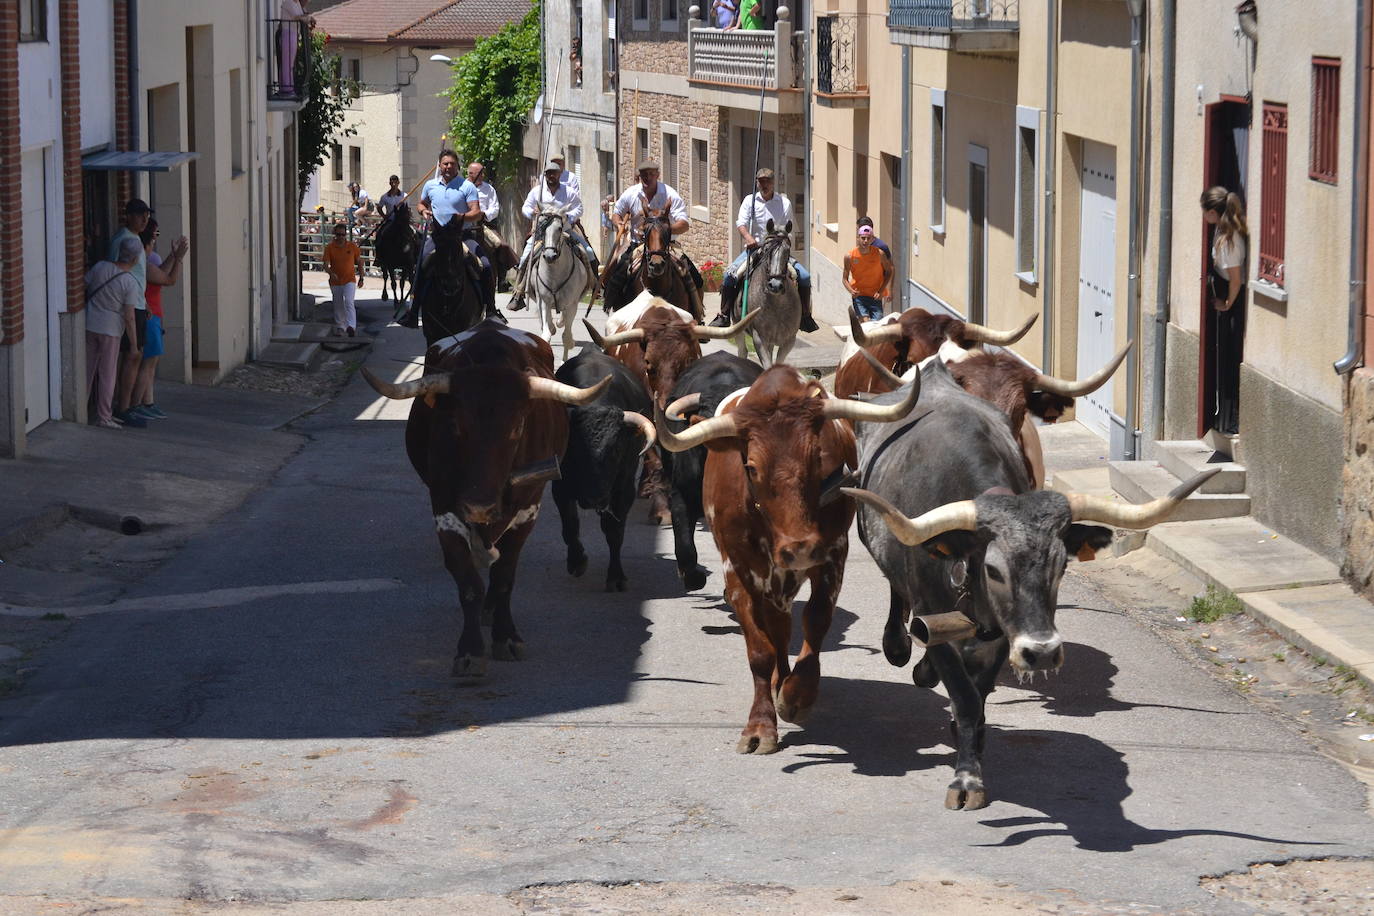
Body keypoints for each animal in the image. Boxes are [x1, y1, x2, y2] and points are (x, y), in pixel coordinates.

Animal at [365, 318, 607, 678]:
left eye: (518, 427)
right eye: (455, 424)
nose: (479, 506)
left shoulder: (528, 510)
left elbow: (505, 576)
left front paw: (506, 637)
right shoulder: (444, 506)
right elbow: (468, 581)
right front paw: (470, 650)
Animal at [524, 205, 596, 359]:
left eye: (559, 228)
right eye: (541, 227)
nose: (550, 256)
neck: (554, 275)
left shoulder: (572, 305)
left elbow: (566, 337)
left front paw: (564, 361)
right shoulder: (543, 301)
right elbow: (546, 335)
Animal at [656, 368, 917, 758]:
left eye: (817, 459)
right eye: (750, 467)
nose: (800, 548)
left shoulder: (833, 557)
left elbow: (816, 622)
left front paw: (797, 696)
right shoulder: (738, 572)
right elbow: (760, 650)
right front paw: (760, 726)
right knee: (777, 631)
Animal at [840, 362, 1220, 813]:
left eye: (1060, 566)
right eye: (993, 570)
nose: (1042, 652)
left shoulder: (1005, 633)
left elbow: (978, 696)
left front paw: (970, 751)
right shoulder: (935, 612)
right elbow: (964, 697)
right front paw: (966, 780)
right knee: (898, 601)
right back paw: (900, 648)